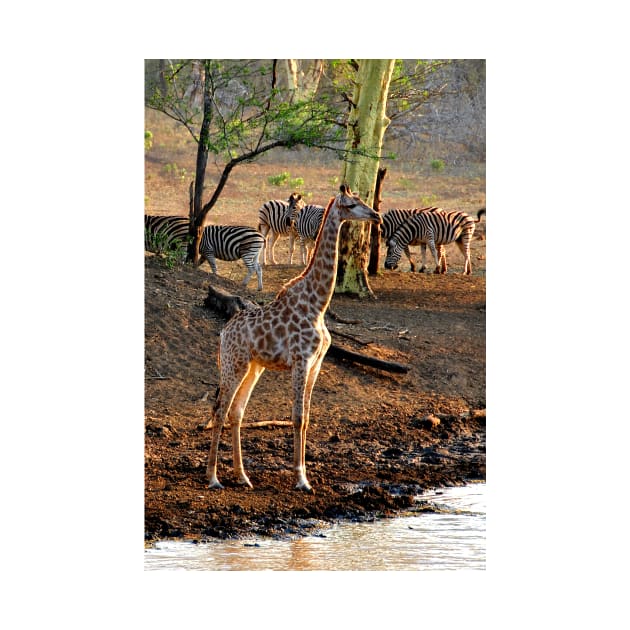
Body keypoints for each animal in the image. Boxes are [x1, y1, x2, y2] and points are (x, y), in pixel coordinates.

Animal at [206, 186, 380, 494]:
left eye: (362, 200)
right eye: (351, 204)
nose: (376, 215)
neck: (317, 304)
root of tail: (224, 333)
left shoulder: (316, 364)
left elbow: (307, 418)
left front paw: (305, 476)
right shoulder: (301, 361)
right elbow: (297, 417)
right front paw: (301, 479)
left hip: (254, 367)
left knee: (236, 412)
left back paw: (243, 477)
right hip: (233, 364)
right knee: (220, 410)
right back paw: (213, 478)